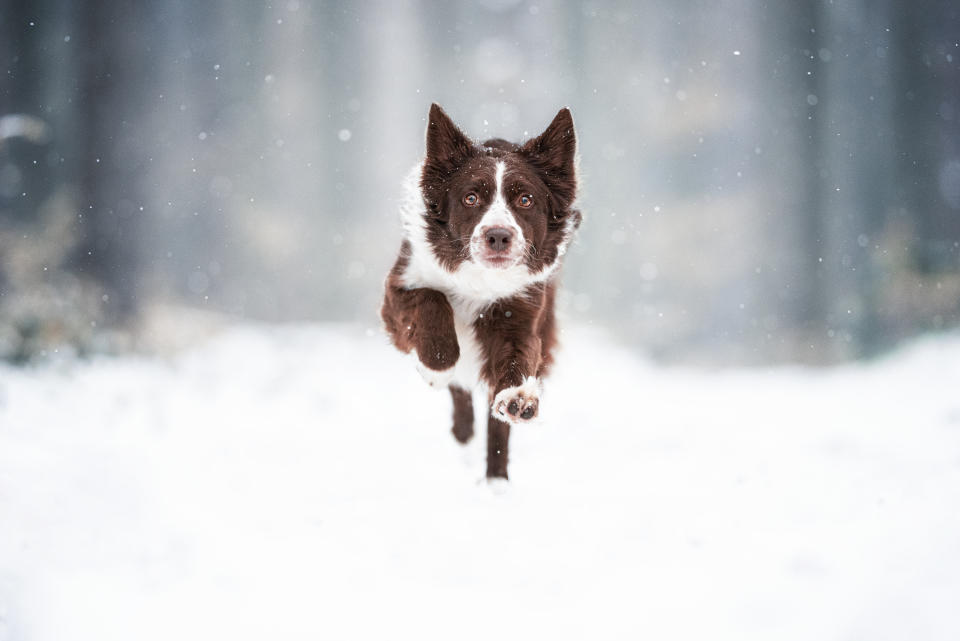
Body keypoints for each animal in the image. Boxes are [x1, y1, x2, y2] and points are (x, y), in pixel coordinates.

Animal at [380, 102, 576, 478]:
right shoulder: (397, 292)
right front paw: (435, 368)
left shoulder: (521, 312)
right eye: (470, 198)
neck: (479, 279)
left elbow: (515, 359)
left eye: (525, 200)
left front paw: (518, 398)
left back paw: (496, 479)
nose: (498, 236)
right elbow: (432, 298)